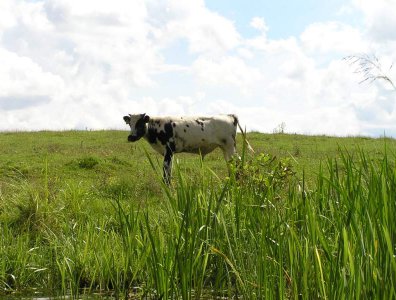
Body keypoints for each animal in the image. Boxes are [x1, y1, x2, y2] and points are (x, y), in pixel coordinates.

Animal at [124, 112, 252, 183]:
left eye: (140, 123)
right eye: (130, 124)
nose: (131, 137)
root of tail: (229, 115)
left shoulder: (168, 151)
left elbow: (166, 171)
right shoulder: (169, 153)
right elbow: (169, 171)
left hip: (230, 146)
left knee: (237, 162)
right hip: (225, 148)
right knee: (231, 164)